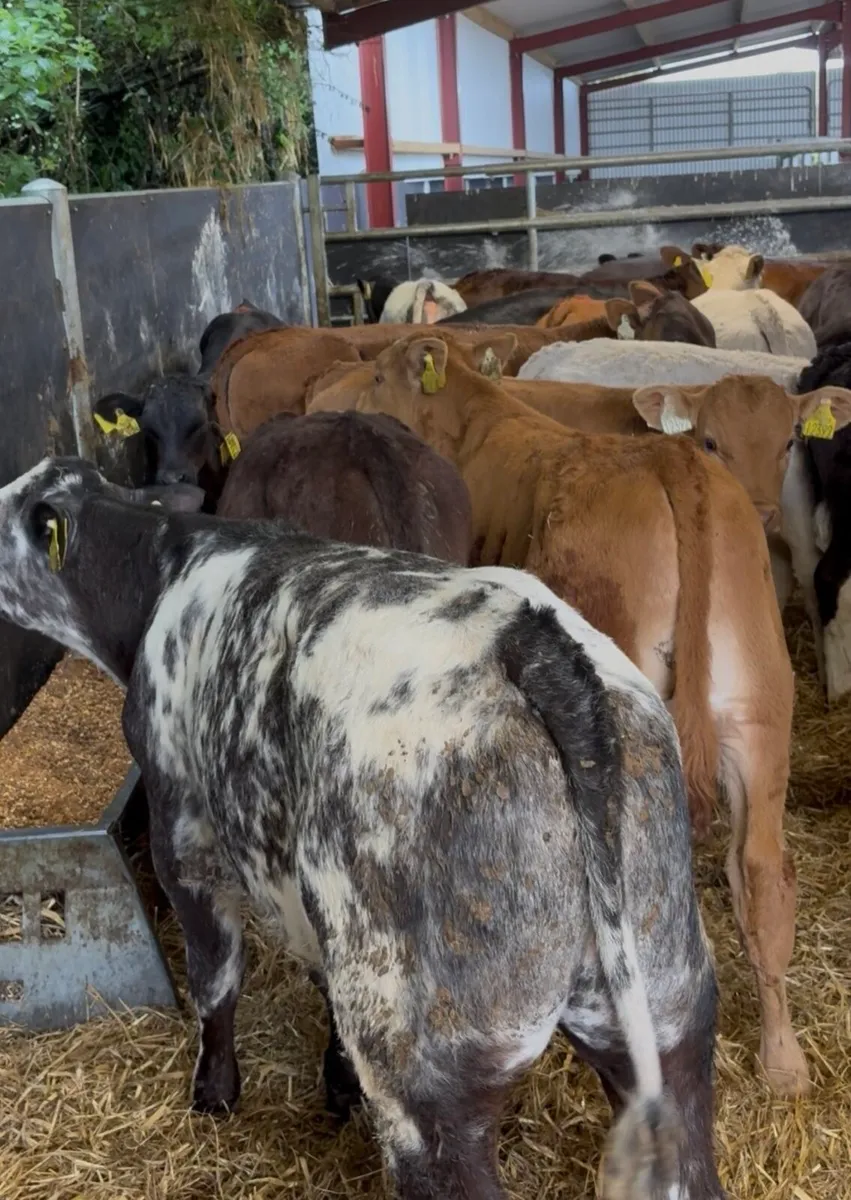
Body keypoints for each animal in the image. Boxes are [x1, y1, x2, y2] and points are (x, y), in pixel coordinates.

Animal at [0, 456, 726, 1200]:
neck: (164, 570)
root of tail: (527, 641)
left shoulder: (185, 836)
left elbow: (216, 978)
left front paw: (215, 1092)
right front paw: (335, 1081)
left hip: (426, 1082)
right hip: (669, 1013)